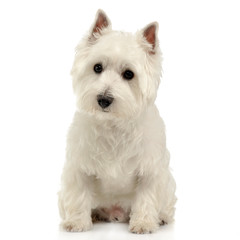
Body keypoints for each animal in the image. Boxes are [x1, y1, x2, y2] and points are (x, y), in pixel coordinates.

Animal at [58, 9, 176, 234]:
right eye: (97, 67)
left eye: (129, 74)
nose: (103, 99)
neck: (113, 123)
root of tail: (115, 212)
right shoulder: (79, 166)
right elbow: (79, 194)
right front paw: (77, 222)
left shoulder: (149, 170)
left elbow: (146, 197)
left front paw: (143, 223)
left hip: (168, 185)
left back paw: (162, 218)